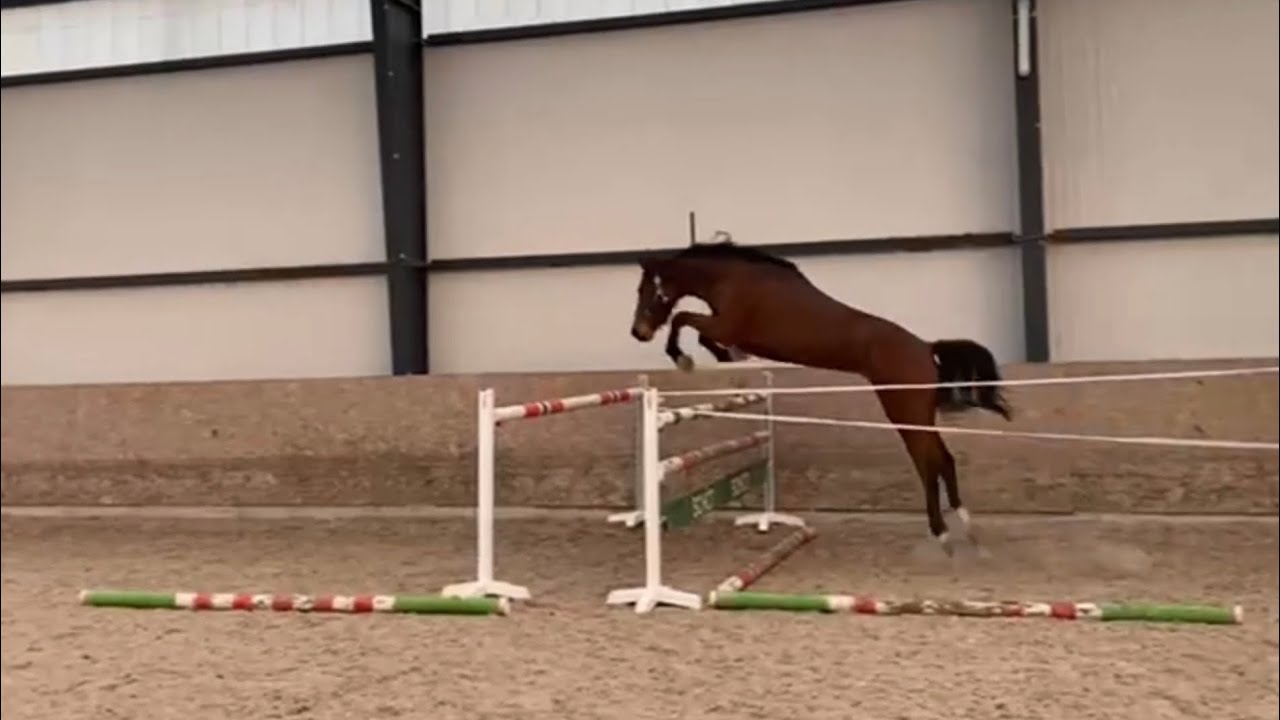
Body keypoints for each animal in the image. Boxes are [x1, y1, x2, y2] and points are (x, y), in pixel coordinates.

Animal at [628, 237, 1013, 555]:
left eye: (647, 290)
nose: (638, 332)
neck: (736, 280)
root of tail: (925, 349)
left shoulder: (725, 325)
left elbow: (683, 319)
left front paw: (685, 358)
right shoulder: (725, 327)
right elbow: (696, 329)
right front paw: (723, 357)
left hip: (903, 411)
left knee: (928, 464)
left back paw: (943, 533)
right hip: (918, 414)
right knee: (943, 460)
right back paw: (967, 530)